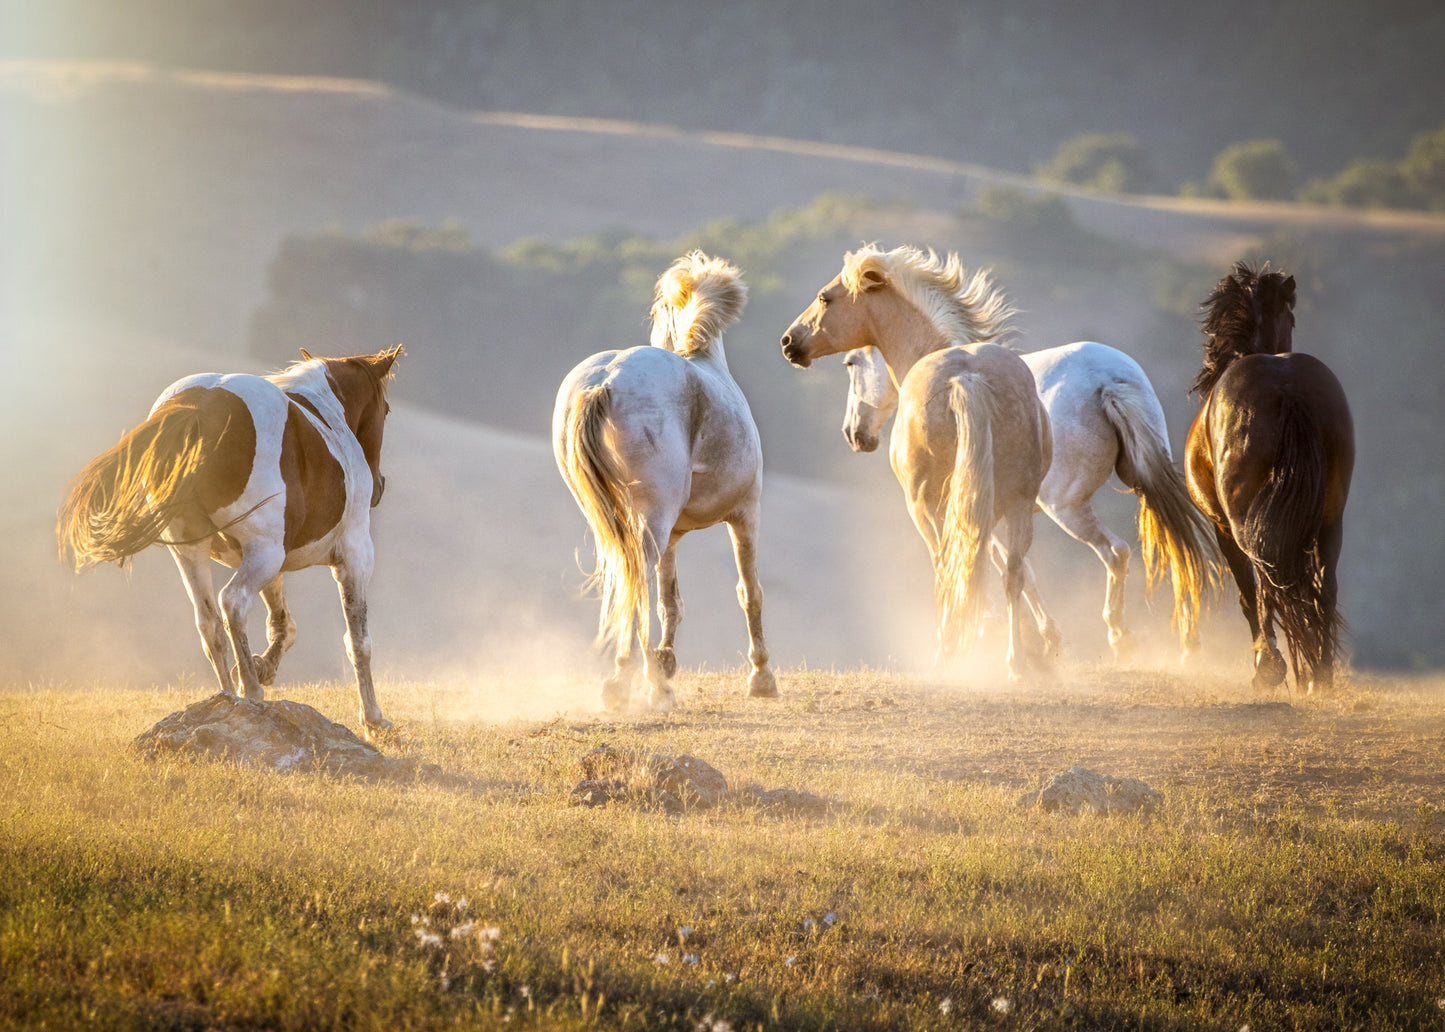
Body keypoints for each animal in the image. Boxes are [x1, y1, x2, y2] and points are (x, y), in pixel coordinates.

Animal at [57, 345, 404, 731]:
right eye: (386, 409)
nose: (379, 486)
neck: (328, 418)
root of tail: (200, 405)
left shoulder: (271, 560)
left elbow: (282, 626)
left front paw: (263, 665)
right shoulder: (353, 555)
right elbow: (358, 641)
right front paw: (373, 718)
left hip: (197, 552)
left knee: (209, 622)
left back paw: (228, 695)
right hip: (262, 554)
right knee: (233, 602)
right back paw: (250, 691)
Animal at [551, 248, 780, 708]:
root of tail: (604, 381)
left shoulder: (673, 535)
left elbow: (669, 602)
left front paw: (668, 658)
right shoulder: (746, 516)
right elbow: (750, 592)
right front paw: (762, 676)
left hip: (620, 521)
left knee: (627, 577)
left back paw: (643, 677)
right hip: (654, 521)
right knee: (635, 576)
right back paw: (641, 683)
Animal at [780, 241, 1051, 676]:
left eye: (825, 297)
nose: (789, 342)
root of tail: (965, 378)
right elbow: (1002, 569)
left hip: (930, 507)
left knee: (948, 568)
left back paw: (949, 655)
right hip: (1017, 505)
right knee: (1010, 572)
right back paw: (1016, 662)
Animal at [838, 339, 1219, 659]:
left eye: (852, 362)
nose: (854, 433)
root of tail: (1106, 379)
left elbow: (993, 568)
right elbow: (1010, 568)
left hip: (1064, 508)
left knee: (1116, 551)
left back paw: (1118, 635)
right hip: (1146, 481)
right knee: (1181, 548)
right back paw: (1188, 642)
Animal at [1184, 258, 1352, 690]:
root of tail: (1286, 384)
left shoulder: (1222, 527)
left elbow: (1247, 592)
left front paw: (1268, 660)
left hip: (1245, 520)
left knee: (1267, 580)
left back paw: (1272, 665)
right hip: (1330, 516)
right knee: (1323, 585)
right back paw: (1319, 674)